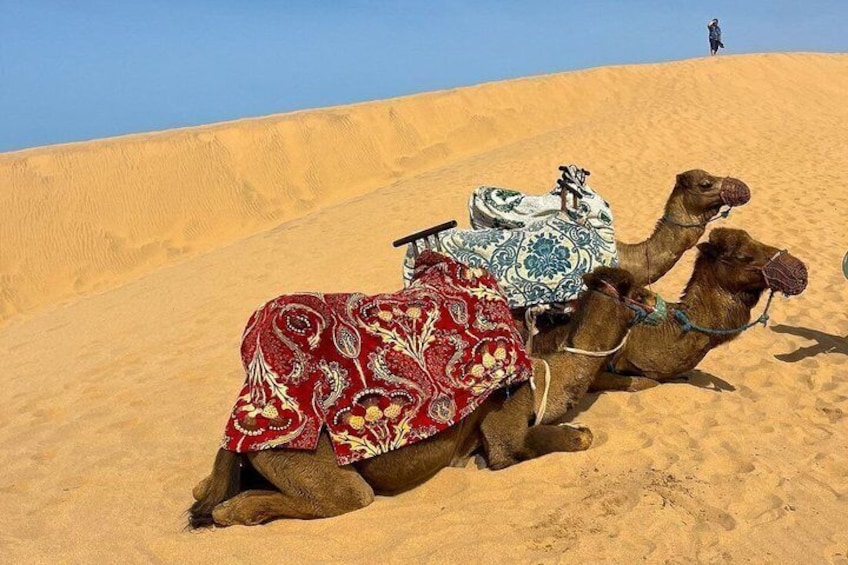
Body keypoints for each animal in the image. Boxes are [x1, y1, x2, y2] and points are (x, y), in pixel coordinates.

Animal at [188, 267, 655, 528]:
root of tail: (236, 433)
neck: (544, 375)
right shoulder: (505, 424)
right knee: (342, 497)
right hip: (303, 459)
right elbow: (574, 438)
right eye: (636, 291)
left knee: (202, 491)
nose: (657, 302)